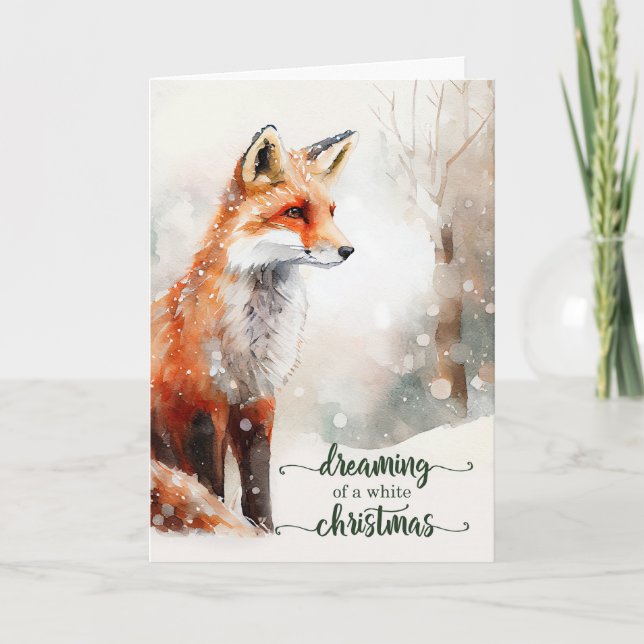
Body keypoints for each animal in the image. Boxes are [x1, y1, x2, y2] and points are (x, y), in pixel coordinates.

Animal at [151, 125, 359, 533]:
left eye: (330, 212)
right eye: (294, 212)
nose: (348, 250)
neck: (248, 340)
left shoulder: (256, 401)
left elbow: (258, 486)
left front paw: (267, 534)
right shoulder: (201, 406)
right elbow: (211, 487)